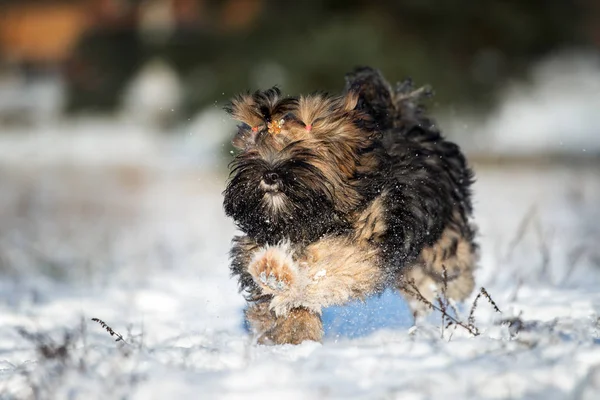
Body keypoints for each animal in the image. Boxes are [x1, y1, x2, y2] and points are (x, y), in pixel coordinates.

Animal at [223, 67, 476, 346]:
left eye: (302, 153)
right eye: (253, 153)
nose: (269, 174)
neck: (302, 222)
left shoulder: (365, 244)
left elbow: (326, 265)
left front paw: (275, 273)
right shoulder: (251, 246)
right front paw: (292, 331)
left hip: (442, 243)